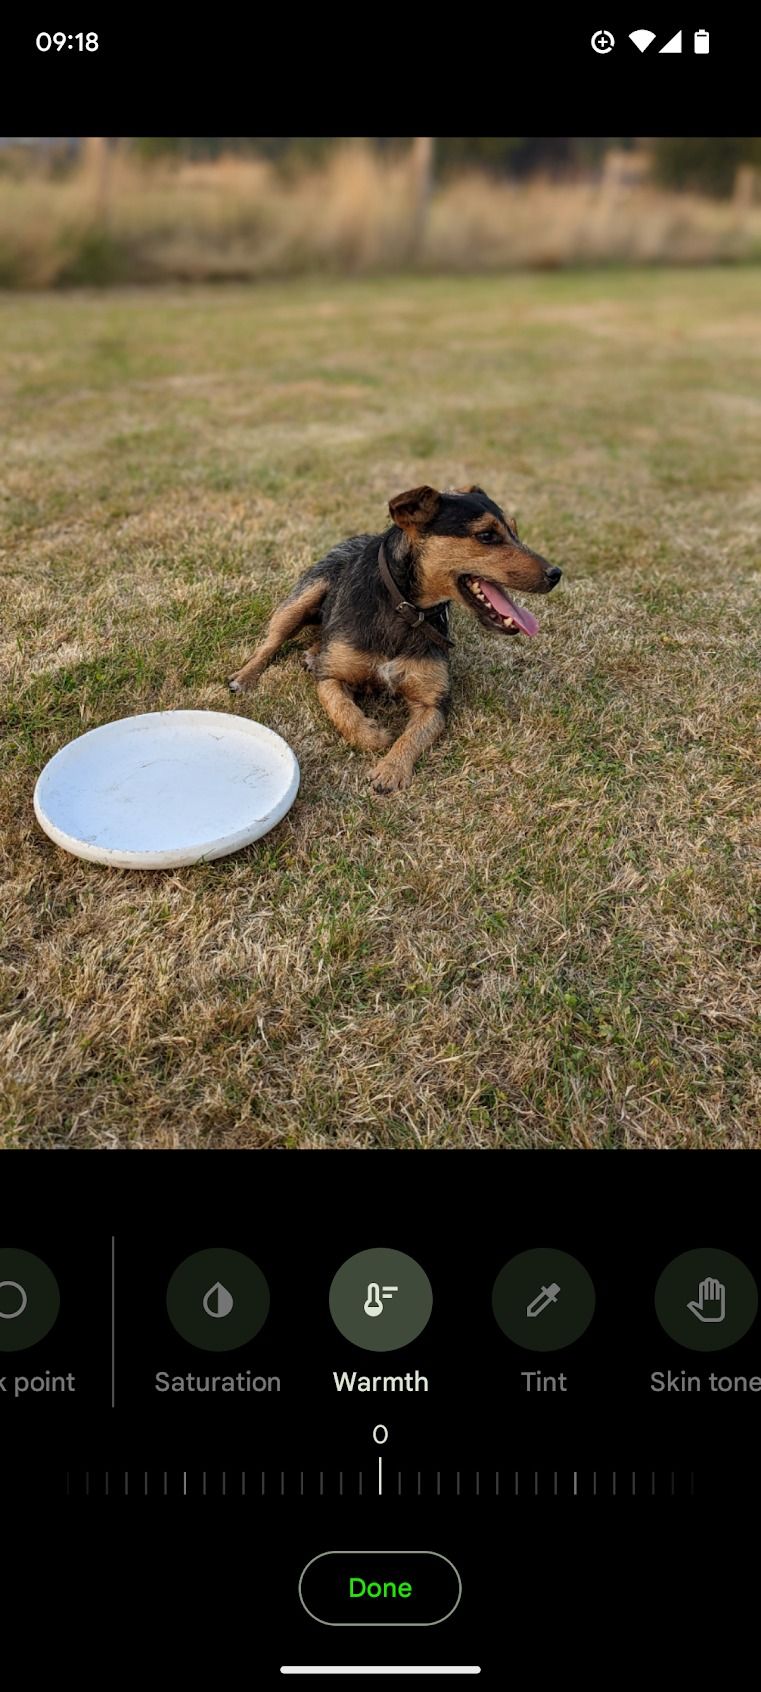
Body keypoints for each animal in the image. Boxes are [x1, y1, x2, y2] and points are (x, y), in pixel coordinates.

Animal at [228, 480, 561, 788]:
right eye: (487, 536)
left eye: (515, 531)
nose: (556, 574)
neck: (405, 609)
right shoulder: (330, 679)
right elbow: (342, 710)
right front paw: (373, 735)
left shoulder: (433, 703)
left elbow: (412, 737)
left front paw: (391, 769)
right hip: (304, 596)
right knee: (271, 642)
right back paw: (245, 676)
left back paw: (312, 652)